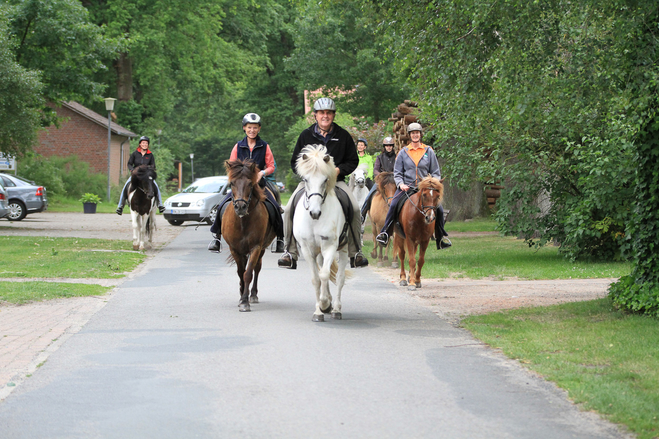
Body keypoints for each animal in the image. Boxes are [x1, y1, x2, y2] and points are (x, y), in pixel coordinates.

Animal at [223, 160, 278, 312]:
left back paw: (252, 295)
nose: (240, 207)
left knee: (256, 268)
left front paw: (244, 301)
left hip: (262, 248)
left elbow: (248, 273)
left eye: (250, 184)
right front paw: (242, 295)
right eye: (232, 183)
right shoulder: (235, 249)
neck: (243, 222)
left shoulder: (256, 247)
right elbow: (240, 272)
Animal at [294, 146, 350, 322]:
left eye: (325, 180)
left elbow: (324, 275)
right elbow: (316, 279)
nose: (314, 213)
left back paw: (336, 309)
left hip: (344, 249)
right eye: (305, 179)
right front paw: (319, 311)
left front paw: (324, 304)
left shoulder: (330, 246)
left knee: (339, 278)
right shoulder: (307, 249)